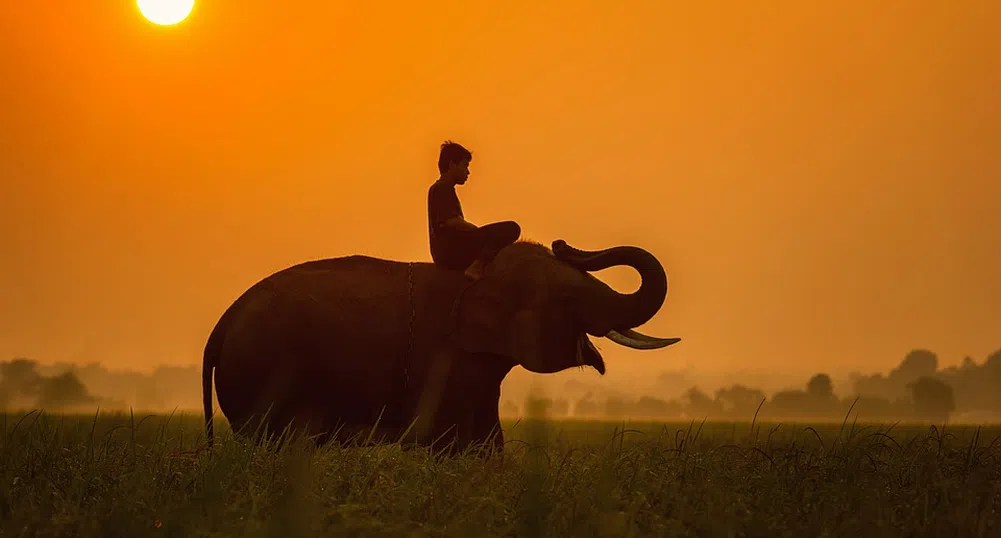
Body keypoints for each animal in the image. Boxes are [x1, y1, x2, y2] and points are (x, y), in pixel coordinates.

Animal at [199, 239, 676, 452]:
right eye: (568, 298)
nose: (564, 244)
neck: (482, 273)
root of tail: (220, 325)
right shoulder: (445, 358)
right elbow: (452, 441)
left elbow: (487, 440)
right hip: (262, 375)